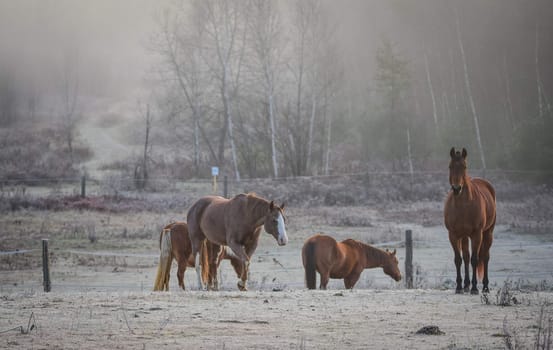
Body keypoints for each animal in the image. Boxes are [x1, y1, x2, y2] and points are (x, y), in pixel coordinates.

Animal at [444, 146, 496, 294]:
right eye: (450, 166)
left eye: (464, 166)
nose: (457, 188)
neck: (463, 206)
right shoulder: (453, 234)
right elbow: (459, 259)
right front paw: (459, 287)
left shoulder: (477, 234)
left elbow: (475, 259)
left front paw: (474, 288)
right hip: (464, 236)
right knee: (466, 257)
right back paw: (466, 285)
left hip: (487, 233)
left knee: (485, 257)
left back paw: (484, 287)